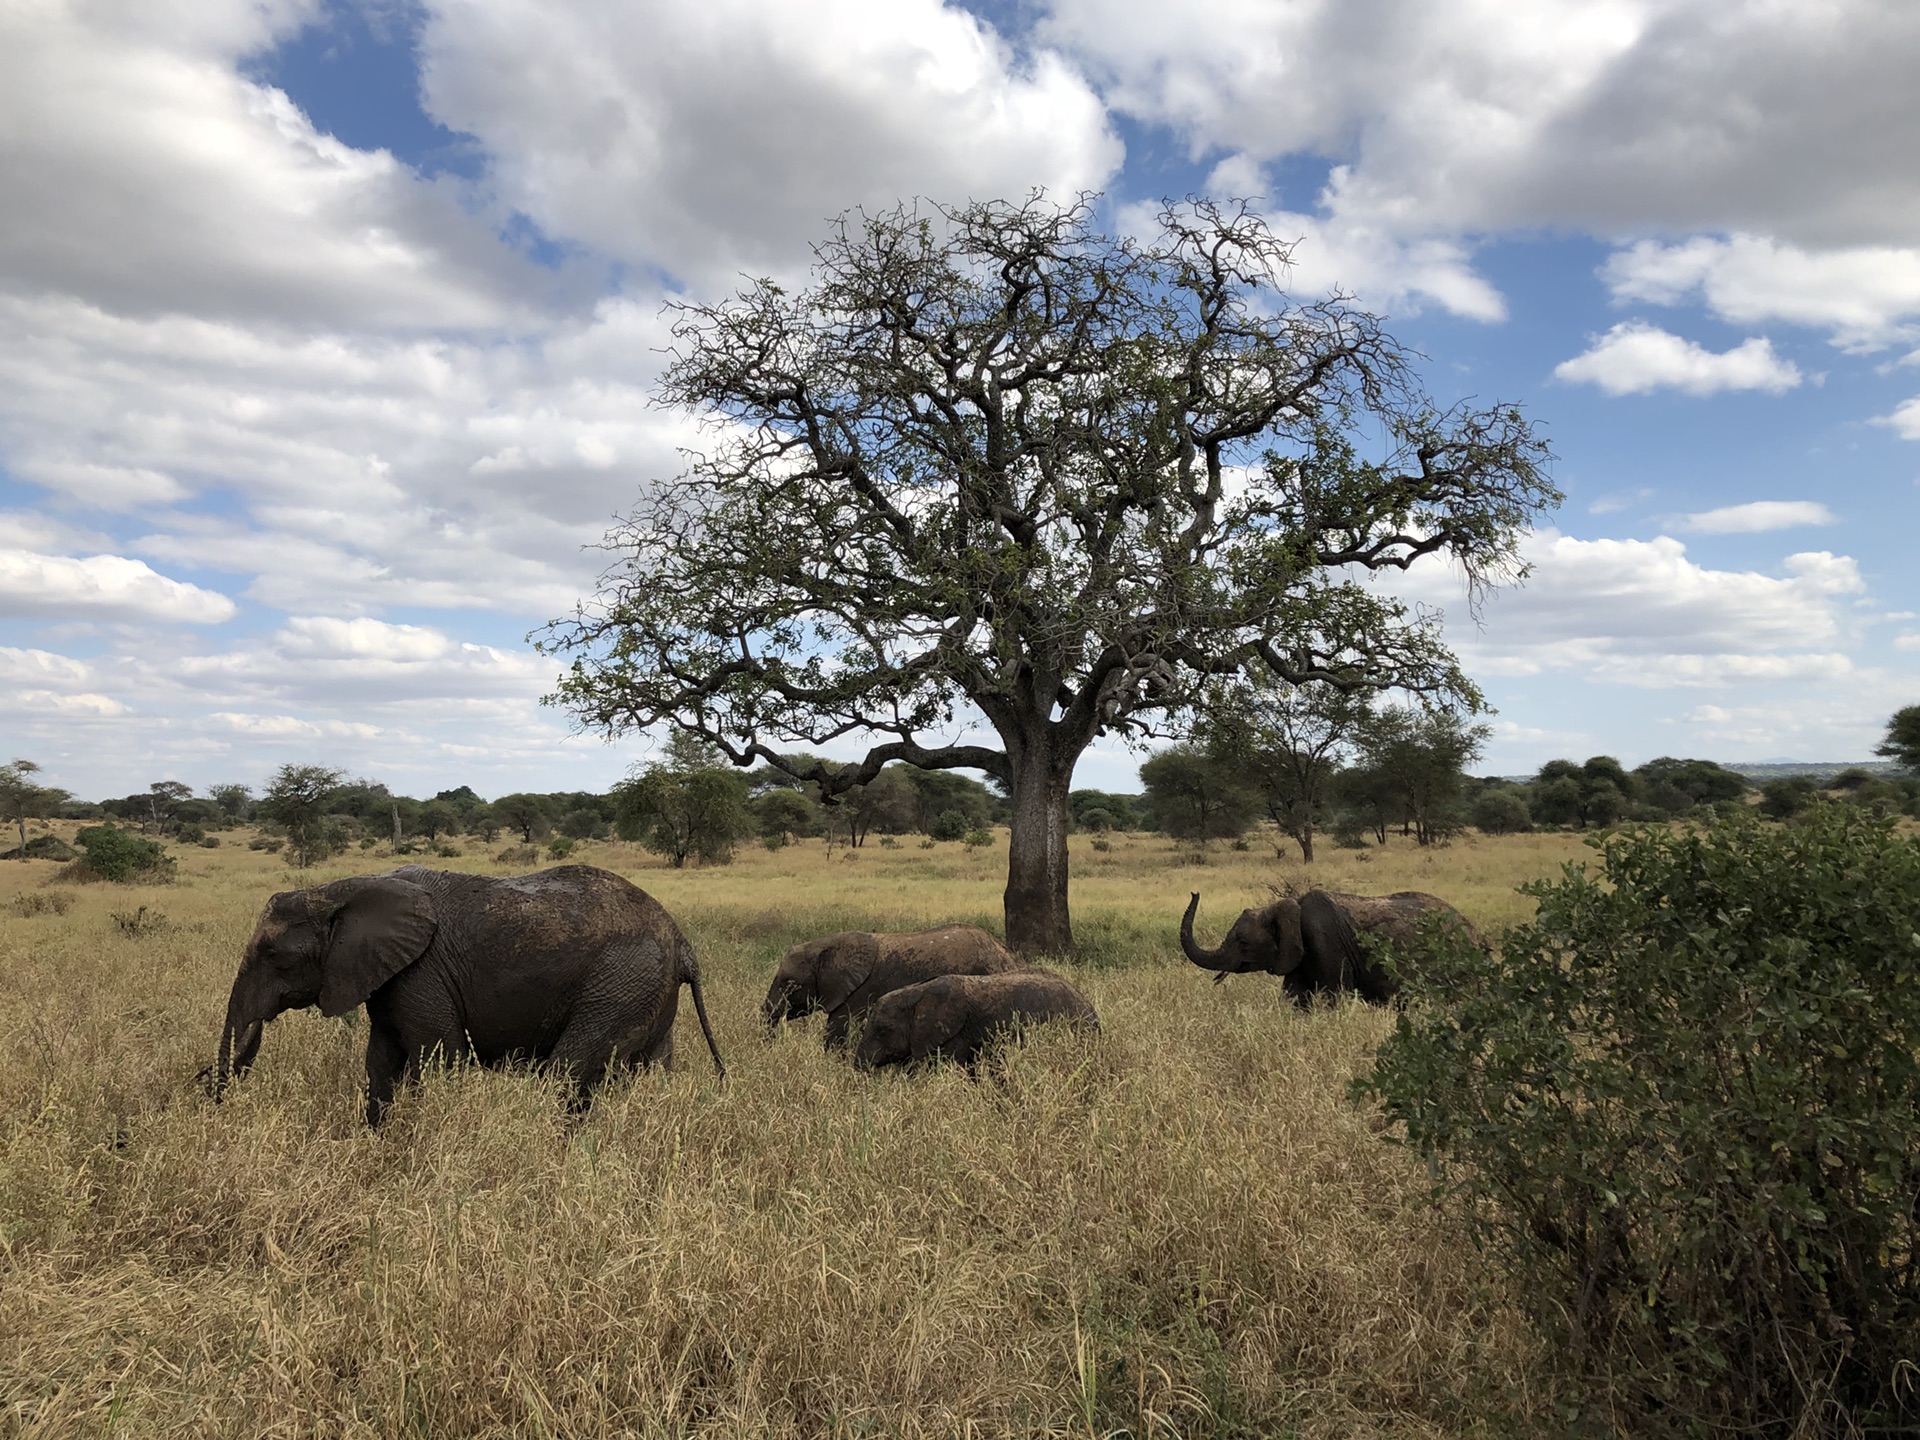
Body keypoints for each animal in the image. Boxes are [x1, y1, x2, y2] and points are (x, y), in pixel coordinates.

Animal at [206, 867, 721, 1128]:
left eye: (274, 955)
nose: (209, 1095)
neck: (337, 889)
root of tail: (682, 943)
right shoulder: (389, 977)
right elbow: (380, 1062)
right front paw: (377, 1139)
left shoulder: (422, 972)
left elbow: (440, 1058)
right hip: (644, 992)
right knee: (652, 1071)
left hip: (619, 984)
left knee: (567, 1071)